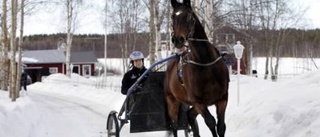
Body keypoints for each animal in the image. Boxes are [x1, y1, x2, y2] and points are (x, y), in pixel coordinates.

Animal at [165, 0, 230, 137]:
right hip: (172, 101)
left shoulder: (222, 98)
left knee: (190, 115)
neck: (206, 62)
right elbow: (211, 122)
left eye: (189, 16)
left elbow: (221, 126)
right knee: (174, 125)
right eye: (173, 16)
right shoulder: (198, 102)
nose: (178, 39)